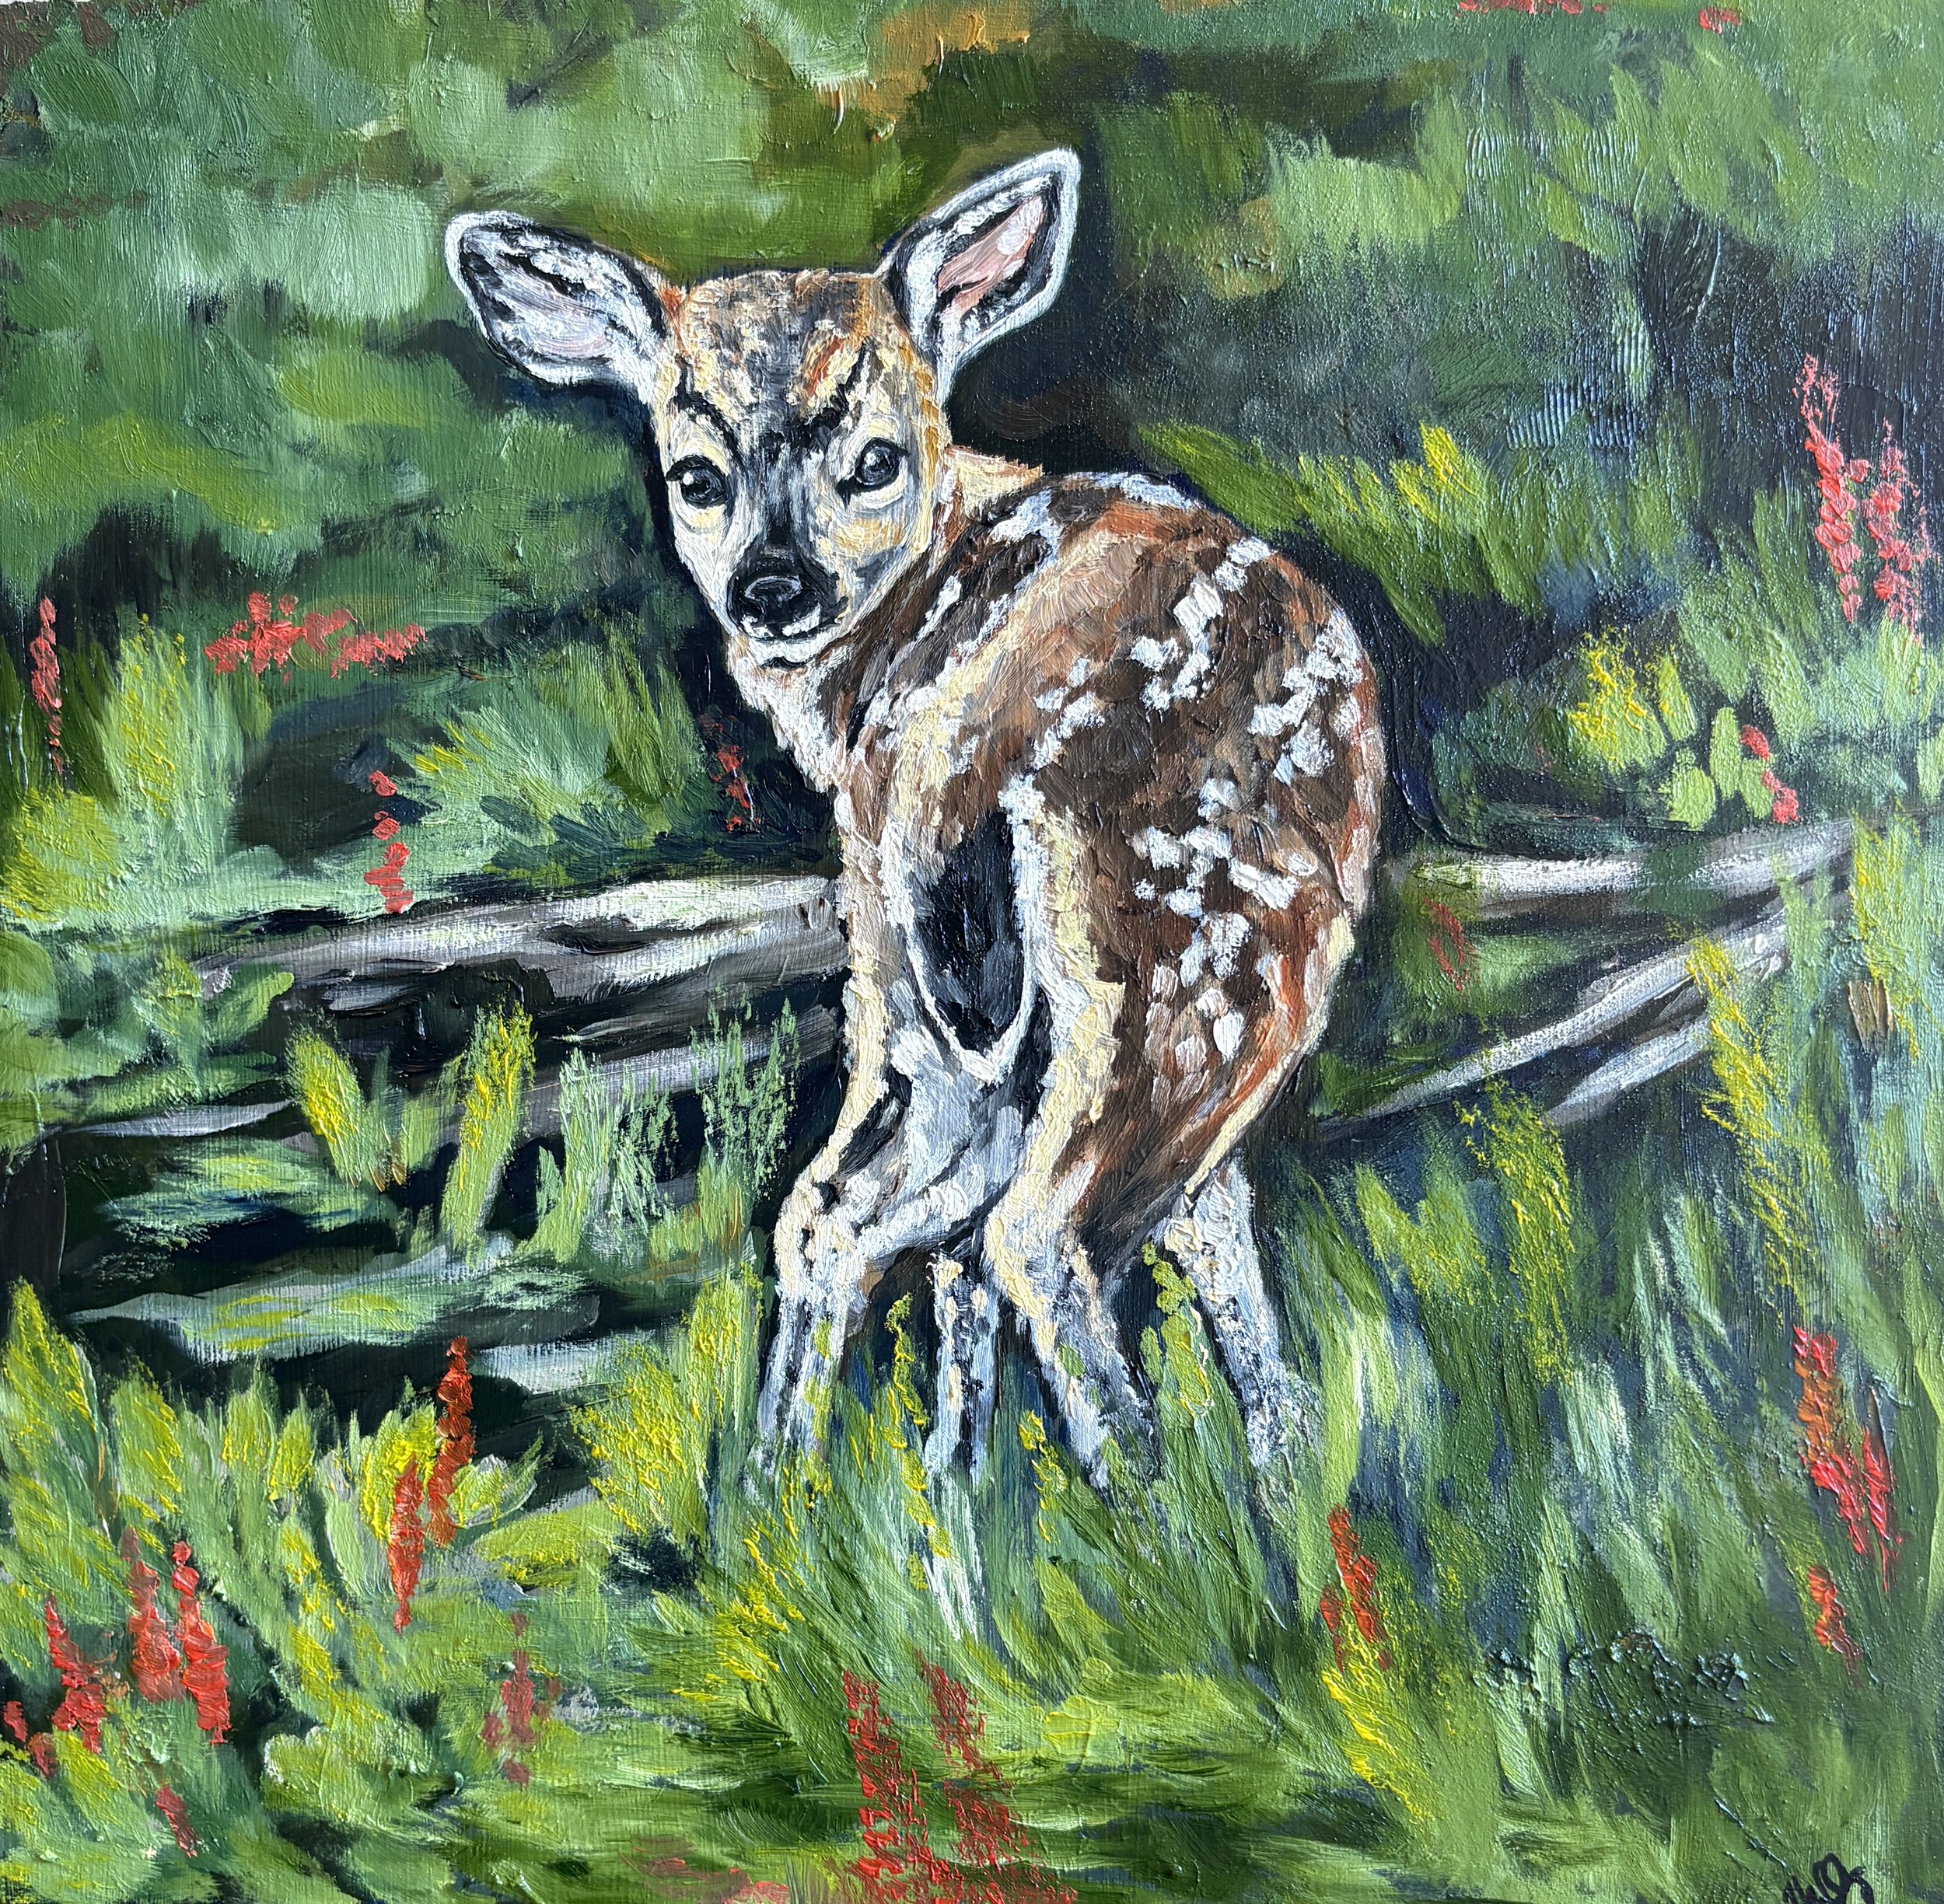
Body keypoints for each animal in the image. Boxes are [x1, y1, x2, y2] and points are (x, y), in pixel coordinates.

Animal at [446, 150, 1384, 1481]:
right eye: (697, 477)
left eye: (876, 459)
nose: (772, 587)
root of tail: (992, 738)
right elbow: (1182, 1230)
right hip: (1188, 955)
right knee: (1025, 1225)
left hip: (962, 961)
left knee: (859, 1213)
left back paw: (816, 1496)